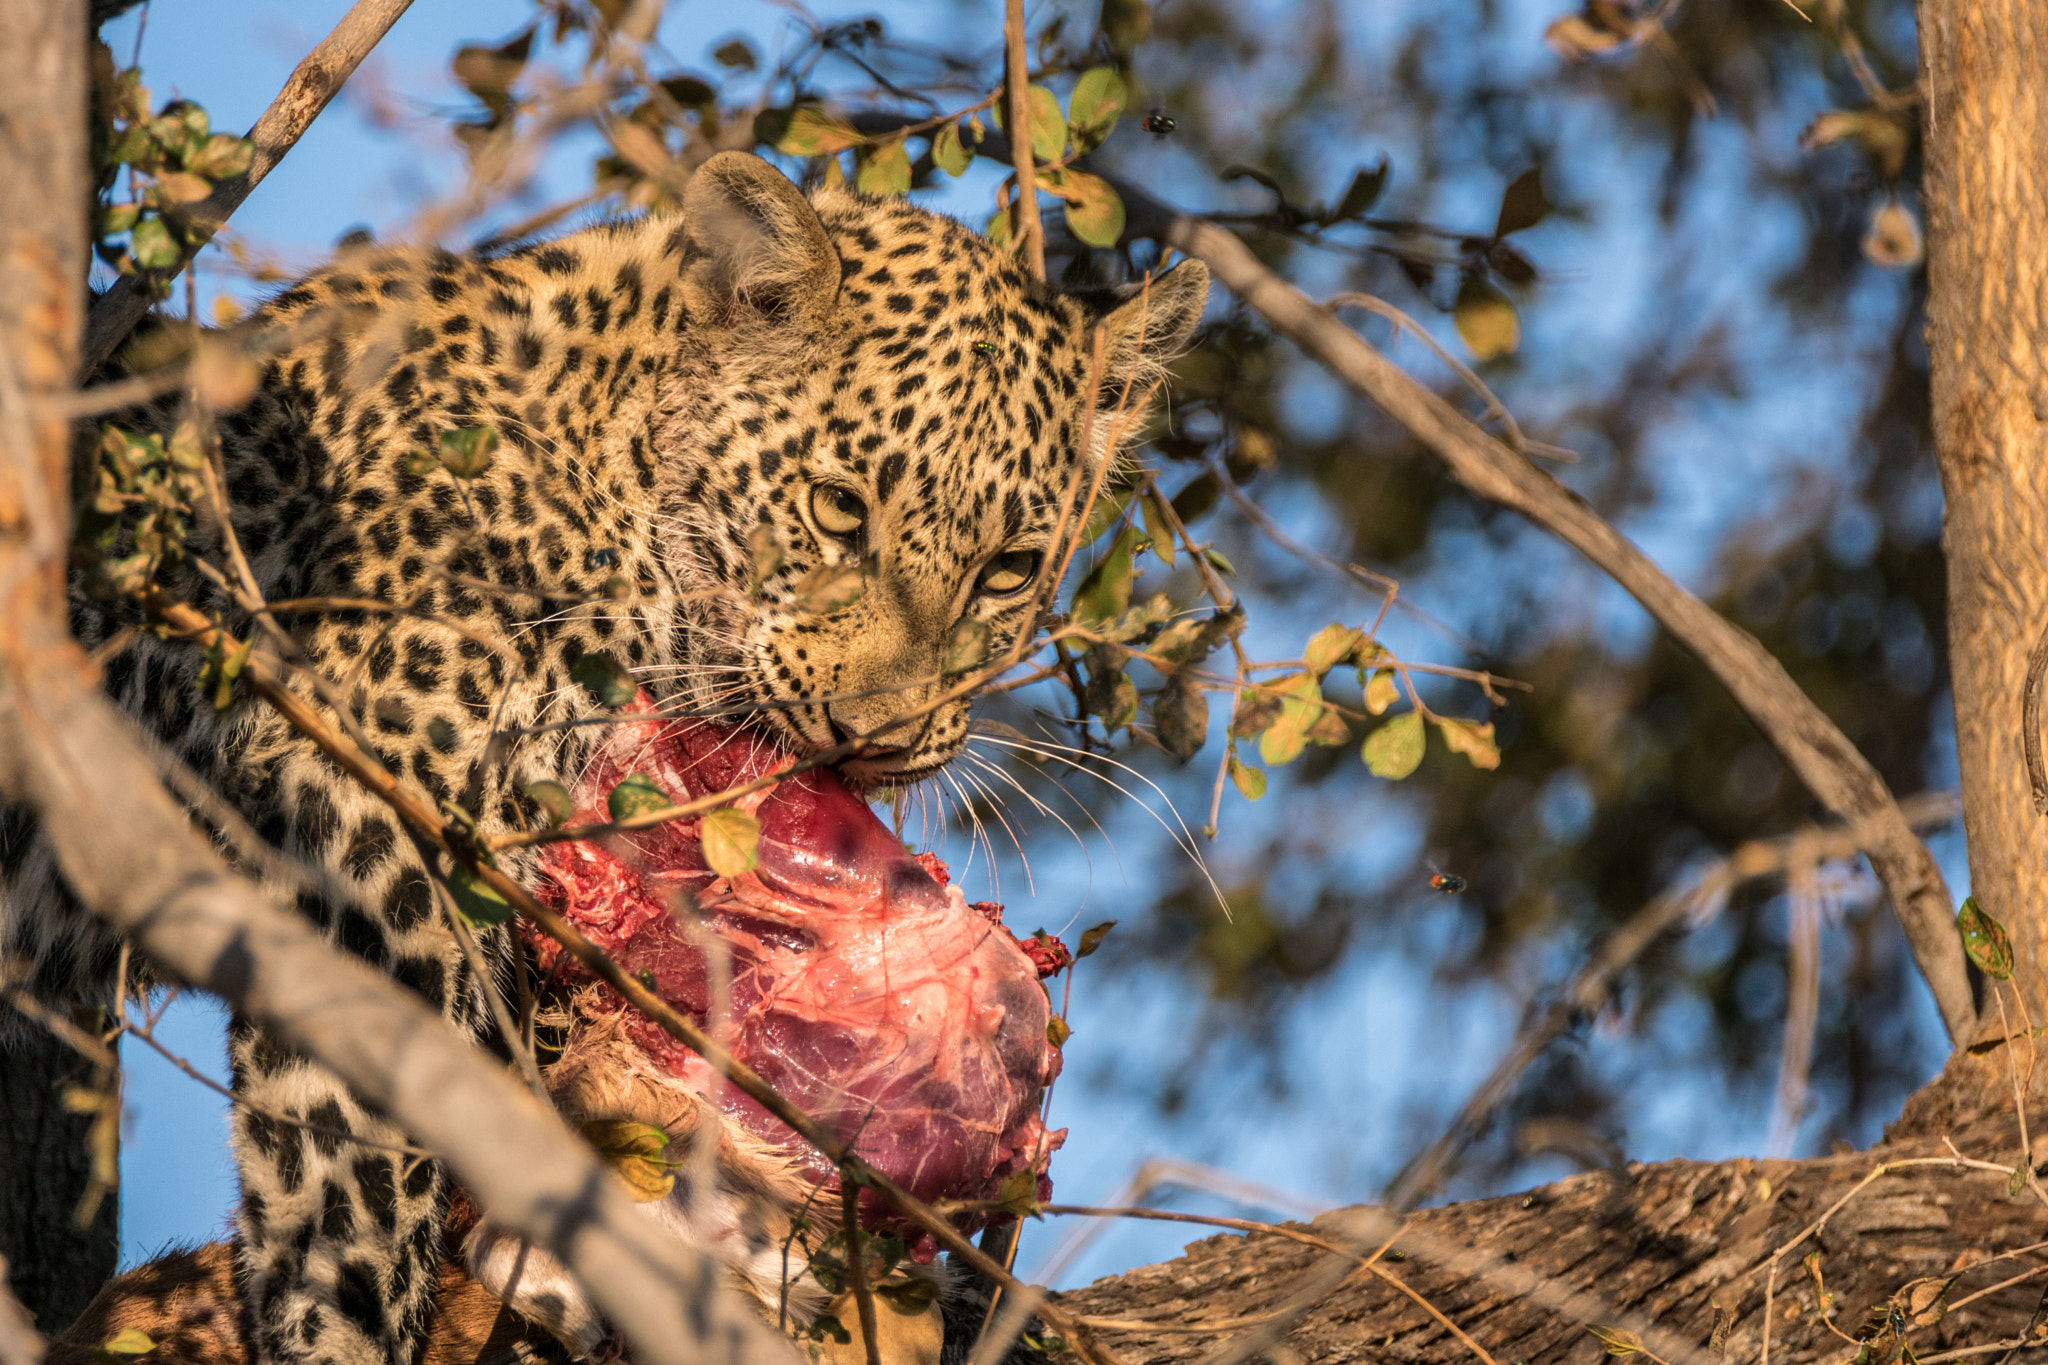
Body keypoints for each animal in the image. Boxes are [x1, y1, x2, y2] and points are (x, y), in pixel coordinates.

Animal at [0, 149, 1204, 1365]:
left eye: (1009, 570)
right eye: (835, 508)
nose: (875, 733)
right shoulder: (363, 840)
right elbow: (355, 1184)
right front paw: (345, 1328)